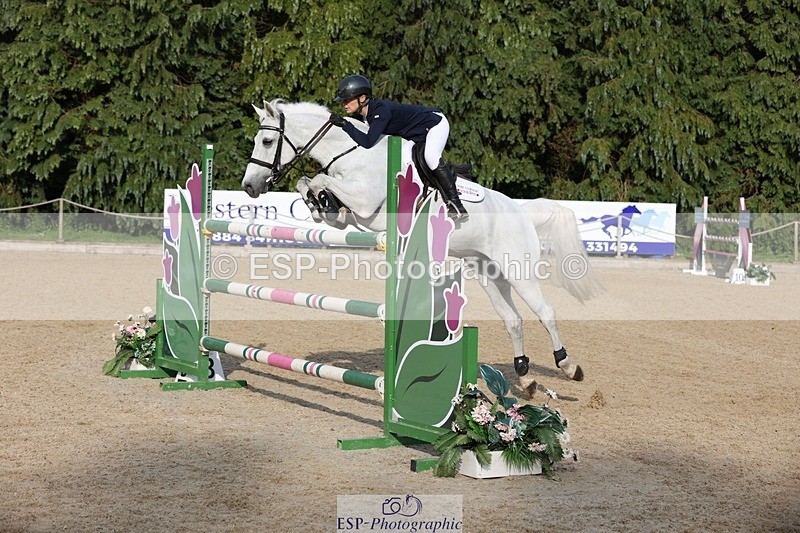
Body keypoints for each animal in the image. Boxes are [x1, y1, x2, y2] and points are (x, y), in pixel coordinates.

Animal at [241, 99, 601, 393]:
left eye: (267, 141)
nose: (249, 186)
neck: (354, 154)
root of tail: (521, 210)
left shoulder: (366, 202)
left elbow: (318, 179)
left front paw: (320, 195)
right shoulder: (355, 215)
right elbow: (311, 186)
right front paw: (319, 202)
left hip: (518, 269)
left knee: (546, 314)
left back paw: (568, 366)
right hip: (489, 272)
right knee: (513, 321)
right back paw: (526, 379)